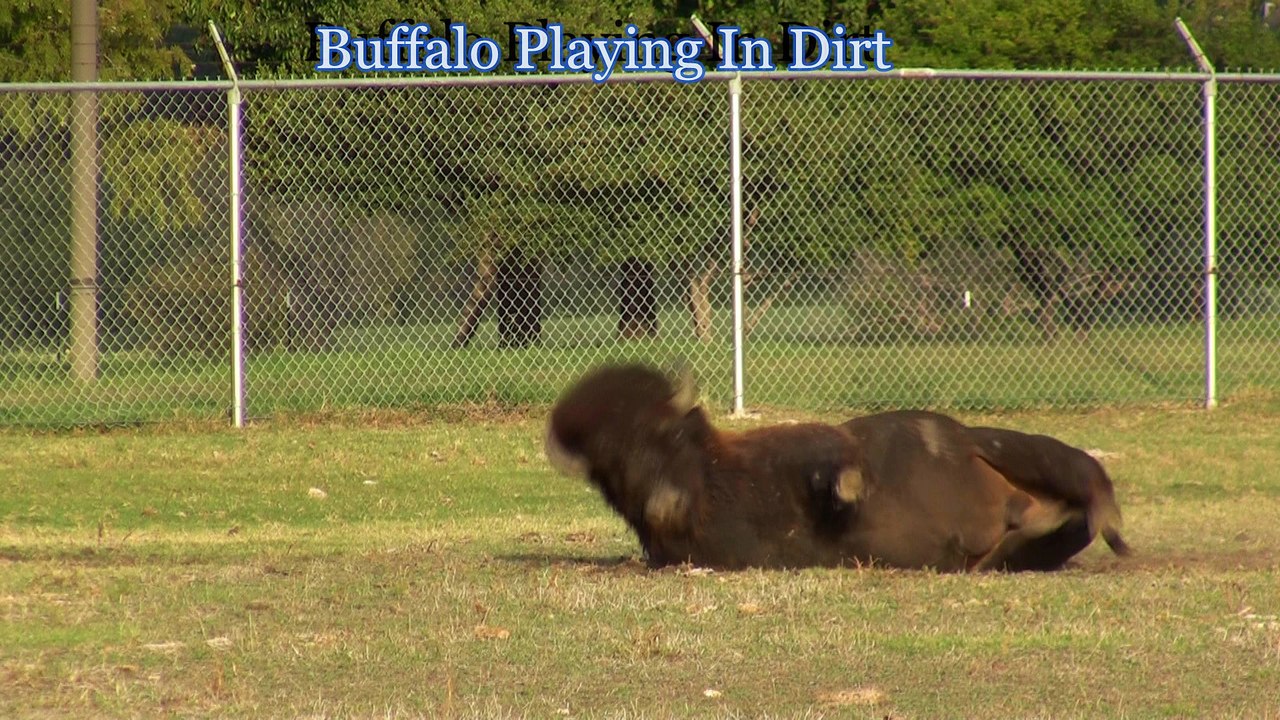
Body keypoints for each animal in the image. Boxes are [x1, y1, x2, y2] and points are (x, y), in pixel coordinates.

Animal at [546, 362, 1130, 572]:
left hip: (999, 442)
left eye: (666, 432)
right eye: (607, 467)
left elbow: (834, 463)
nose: (662, 505)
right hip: (1004, 547)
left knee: (1087, 479)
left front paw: (847, 485)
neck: (714, 479)